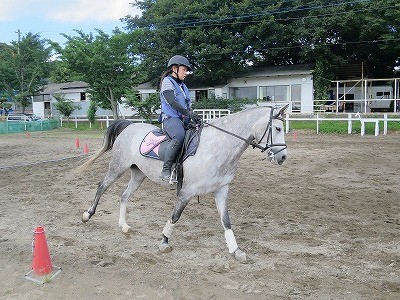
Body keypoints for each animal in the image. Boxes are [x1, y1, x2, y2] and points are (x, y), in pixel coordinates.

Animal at [79, 104, 290, 262]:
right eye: (278, 128)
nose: (283, 157)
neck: (218, 146)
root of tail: (129, 126)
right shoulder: (186, 192)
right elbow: (175, 216)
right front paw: (164, 241)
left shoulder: (221, 190)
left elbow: (226, 221)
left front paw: (236, 250)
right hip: (117, 167)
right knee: (102, 186)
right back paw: (87, 215)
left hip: (138, 174)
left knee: (124, 195)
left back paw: (123, 225)